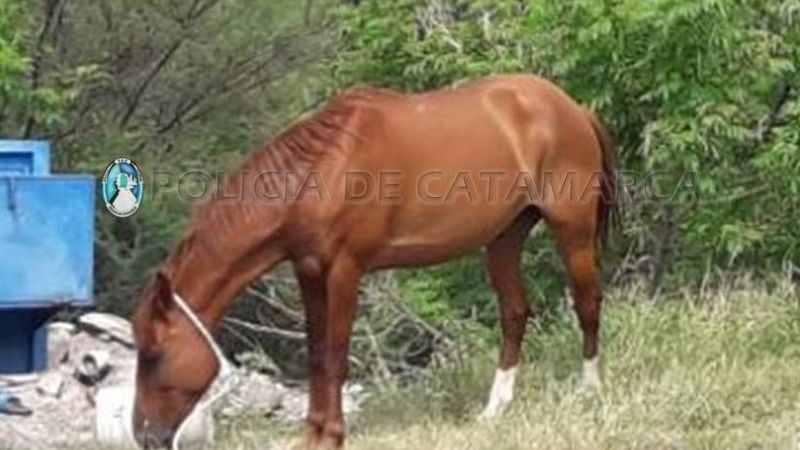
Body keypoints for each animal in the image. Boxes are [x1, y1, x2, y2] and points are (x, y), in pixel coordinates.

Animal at [132, 74, 617, 449]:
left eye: (153, 354)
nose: (143, 434)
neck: (322, 169)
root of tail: (571, 108)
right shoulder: (310, 273)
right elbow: (316, 355)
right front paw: (313, 435)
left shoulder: (346, 270)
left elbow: (336, 357)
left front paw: (334, 436)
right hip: (504, 239)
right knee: (515, 312)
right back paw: (495, 408)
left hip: (571, 229)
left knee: (587, 303)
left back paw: (589, 391)